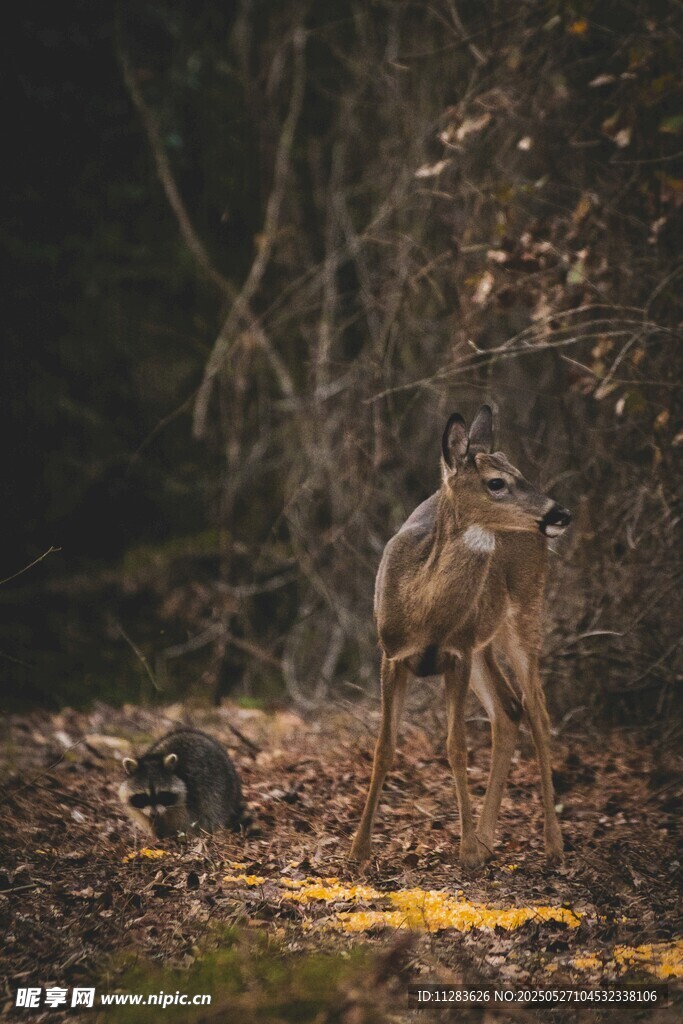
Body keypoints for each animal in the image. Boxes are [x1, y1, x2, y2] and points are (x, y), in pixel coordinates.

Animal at [349, 405, 572, 870]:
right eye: (496, 482)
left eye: (521, 472)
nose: (560, 514)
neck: (423, 607)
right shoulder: (391, 654)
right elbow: (384, 747)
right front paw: (358, 849)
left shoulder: (457, 654)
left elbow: (456, 746)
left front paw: (466, 849)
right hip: (484, 640)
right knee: (508, 710)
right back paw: (488, 838)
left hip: (523, 616)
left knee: (537, 712)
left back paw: (551, 843)